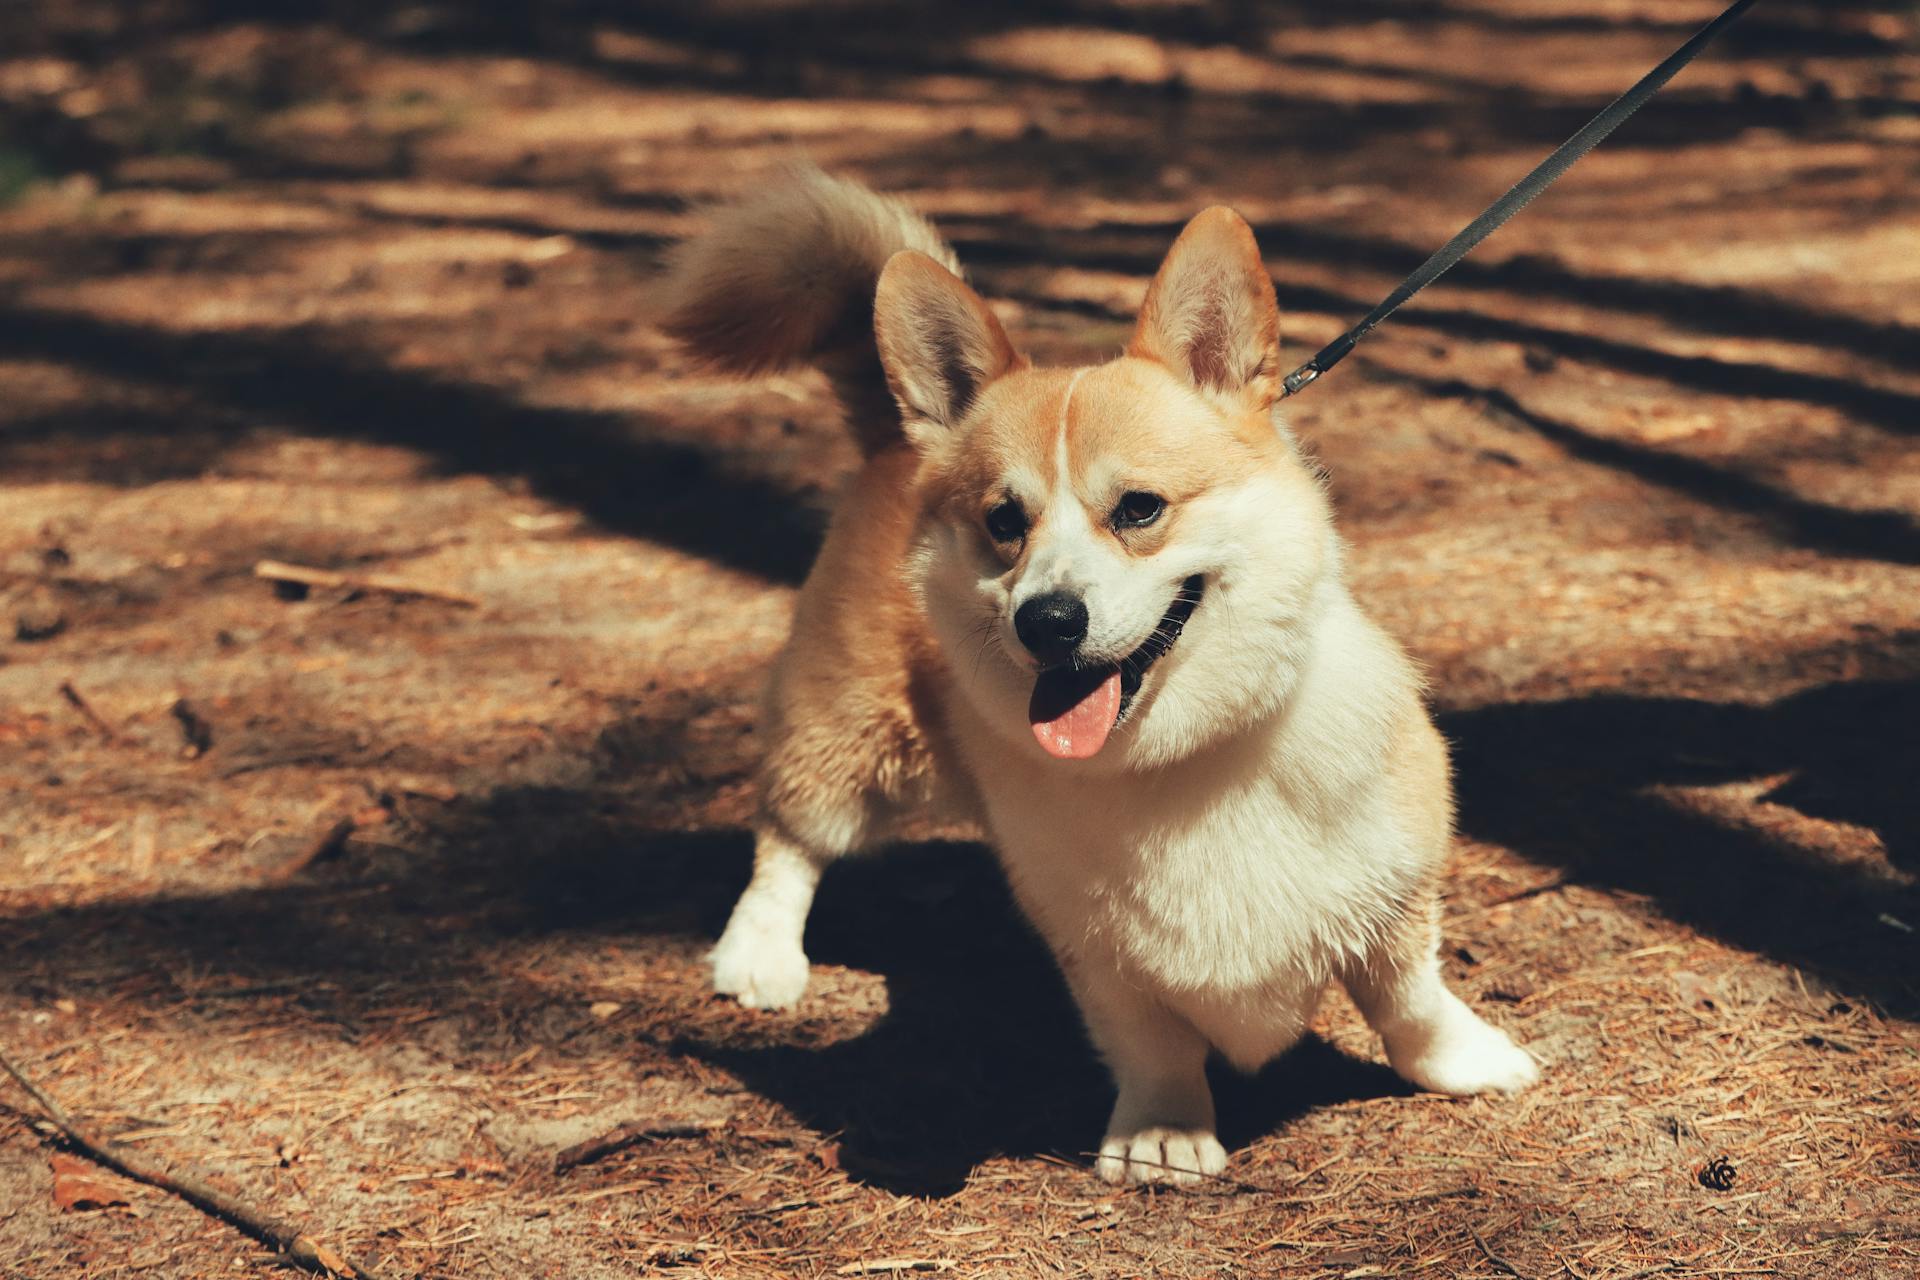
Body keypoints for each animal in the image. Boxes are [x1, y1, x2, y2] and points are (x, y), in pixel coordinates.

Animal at [668, 165, 1536, 1189]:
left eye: (1139, 509)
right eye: (1005, 522)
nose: (1047, 622)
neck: (1178, 755)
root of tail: (897, 444)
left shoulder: (1396, 889)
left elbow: (1411, 999)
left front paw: (1466, 1061)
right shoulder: (1098, 955)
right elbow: (1153, 1043)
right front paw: (1165, 1134)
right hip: (847, 732)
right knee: (791, 840)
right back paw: (759, 955)